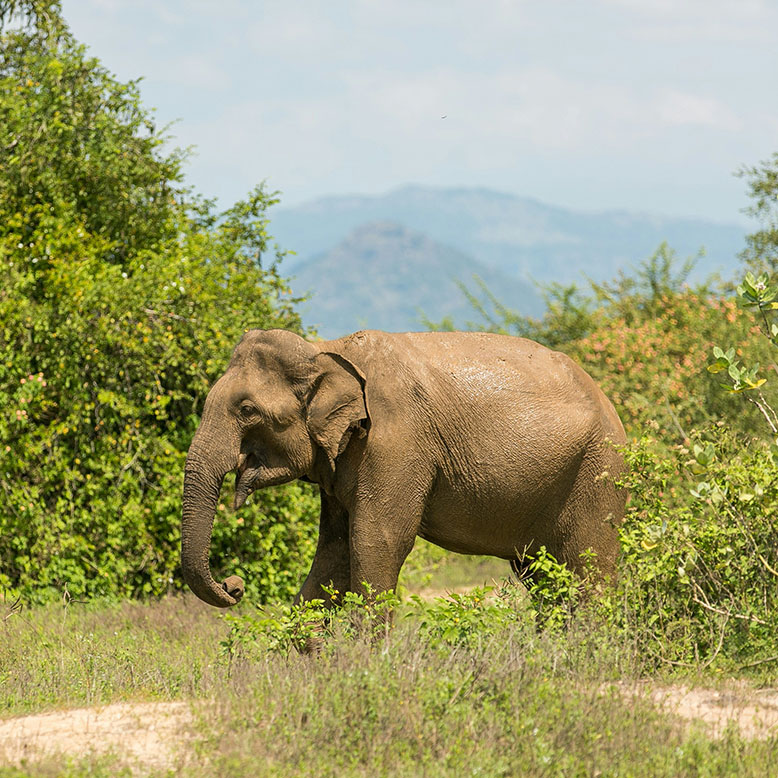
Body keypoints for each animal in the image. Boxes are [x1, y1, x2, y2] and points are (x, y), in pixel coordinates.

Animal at [181, 328, 627, 610]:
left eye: (247, 410)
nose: (234, 585)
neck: (325, 349)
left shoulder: (395, 441)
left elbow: (376, 541)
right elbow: (333, 550)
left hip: (598, 473)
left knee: (588, 566)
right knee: (541, 574)